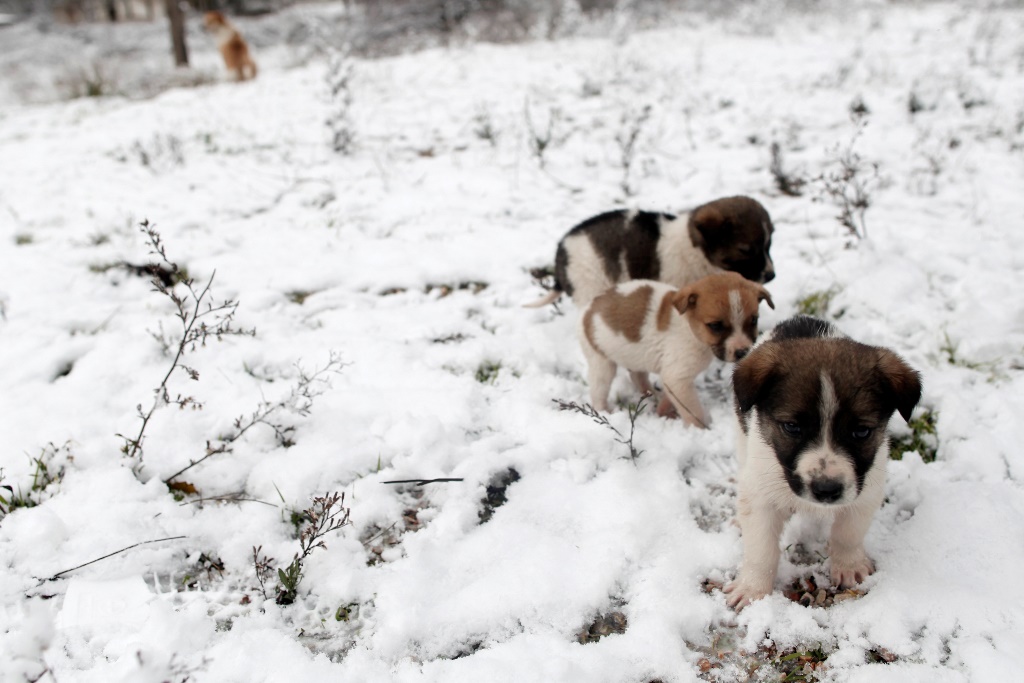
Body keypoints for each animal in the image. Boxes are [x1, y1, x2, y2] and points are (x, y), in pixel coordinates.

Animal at [528, 193, 774, 309]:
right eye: (745, 250)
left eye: (769, 244)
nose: (771, 275)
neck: (696, 251)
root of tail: (561, 252)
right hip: (590, 286)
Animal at [581, 272, 770, 428]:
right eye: (715, 326)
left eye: (754, 320)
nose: (742, 352)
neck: (690, 329)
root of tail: (588, 308)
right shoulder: (677, 378)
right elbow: (692, 410)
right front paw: (699, 429)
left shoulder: (674, 379)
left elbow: (672, 397)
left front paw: (664, 408)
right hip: (601, 362)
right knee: (598, 390)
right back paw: (604, 411)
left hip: (634, 358)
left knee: (637, 376)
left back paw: (651, 394)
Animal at [724, 315, 925, 610]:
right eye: (792, 427)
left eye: (861, 431)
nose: (826, 490)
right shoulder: (761, 495)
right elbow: (761, 549)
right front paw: (752, 588)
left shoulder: (866, 490)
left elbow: (848, 534)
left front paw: (849, 566)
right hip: (742, 438)